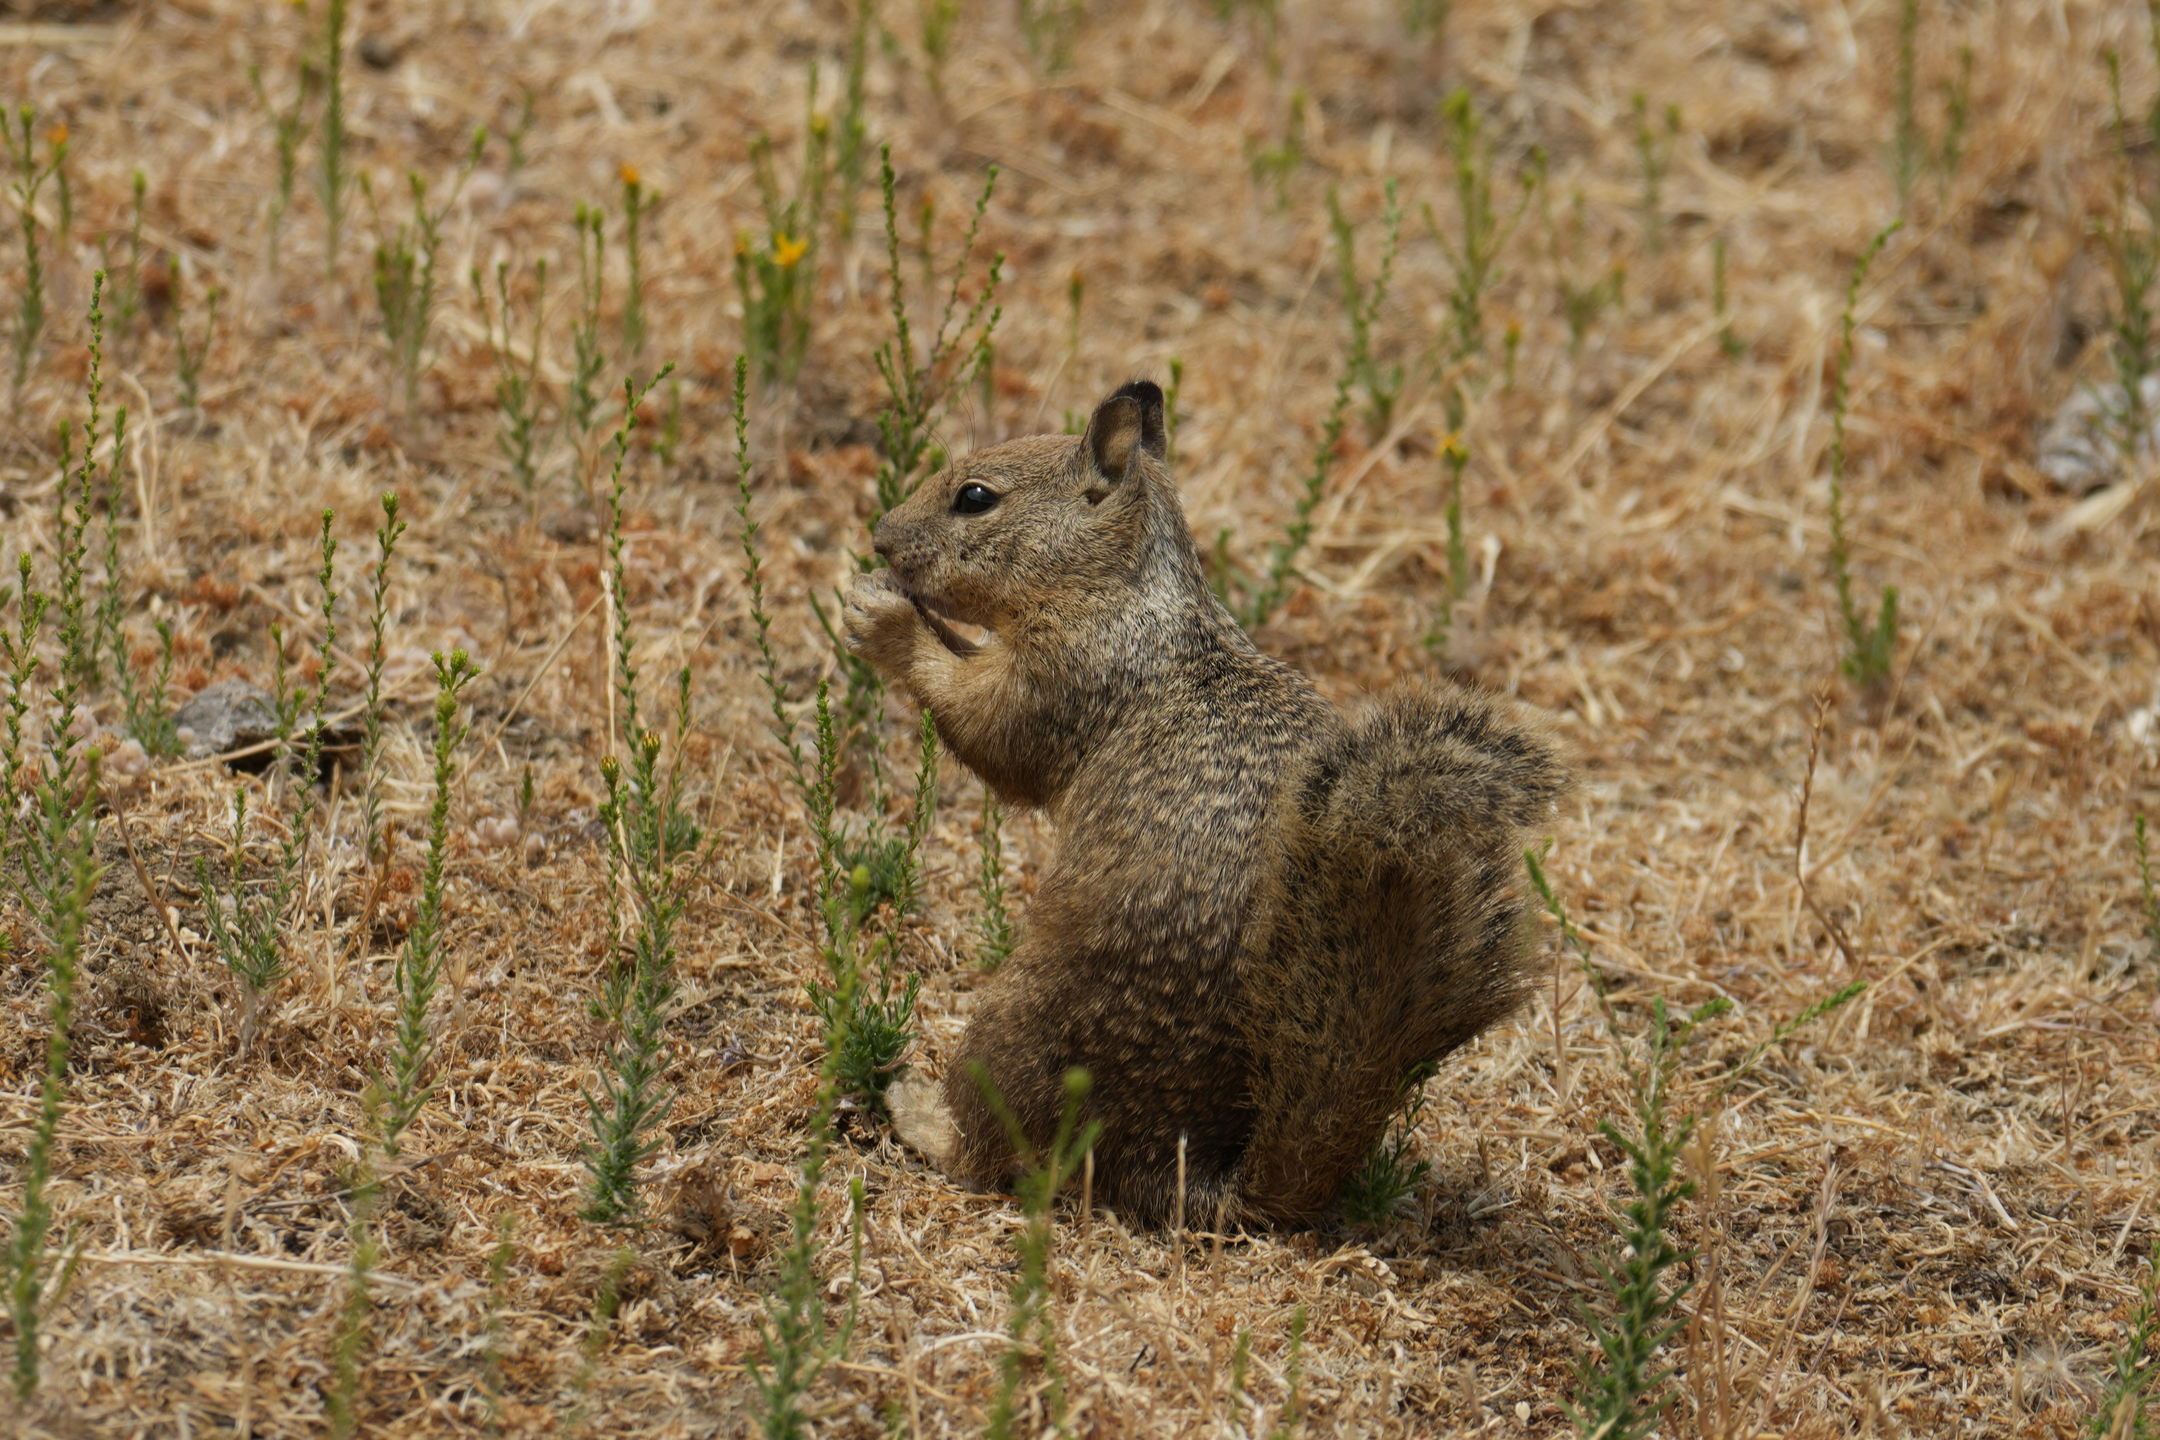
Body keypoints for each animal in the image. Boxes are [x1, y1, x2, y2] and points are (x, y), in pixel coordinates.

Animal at [841, 379, 1568, 1228]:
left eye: (976, 497)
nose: (880, 540)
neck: (1120, 592)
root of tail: (1184, 1170)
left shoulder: (1071, 677)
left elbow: (992, 732)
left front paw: (886, 619)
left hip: (1015, 1030)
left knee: (999, 1151)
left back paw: (917, 1113)